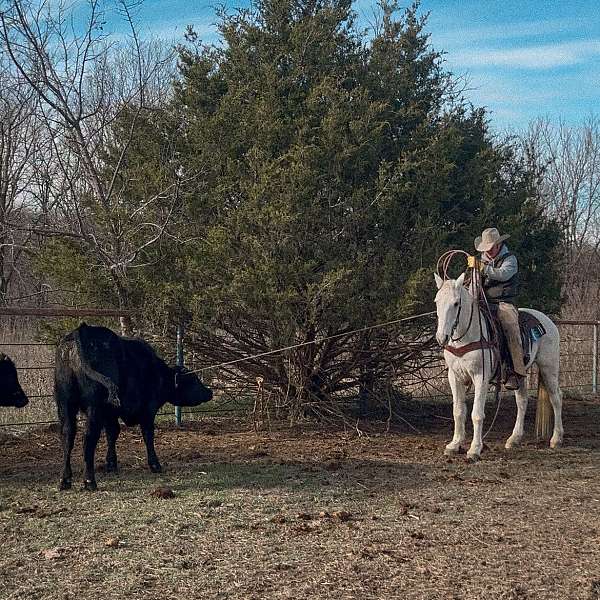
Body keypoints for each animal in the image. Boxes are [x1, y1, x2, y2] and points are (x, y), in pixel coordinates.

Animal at [54, 324, 213, 488]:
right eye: (193, 379)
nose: (209, 392)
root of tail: (82, 329)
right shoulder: (148, 410)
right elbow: (148, 434)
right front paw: (155, 465)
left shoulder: (111, 414)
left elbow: (112, 433)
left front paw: (111, 464)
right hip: (94, 407)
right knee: (89, 438)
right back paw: (89, 481)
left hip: (65, 403)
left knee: (67, 435)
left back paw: (65, 480)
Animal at [432, 274, 564, 462]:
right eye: (437, 301)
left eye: (456, 303)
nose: (441, 337)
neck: (468, 335)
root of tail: (547, 320)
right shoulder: (454, 376)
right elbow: (458, 411)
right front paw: (454, 445)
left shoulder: (481, 376)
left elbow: (477, 414)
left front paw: (474, 449)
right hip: (519, 373)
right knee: (522, 401)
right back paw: (514, 439)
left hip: (549, 367)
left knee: (556, 398)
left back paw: (556, 439)